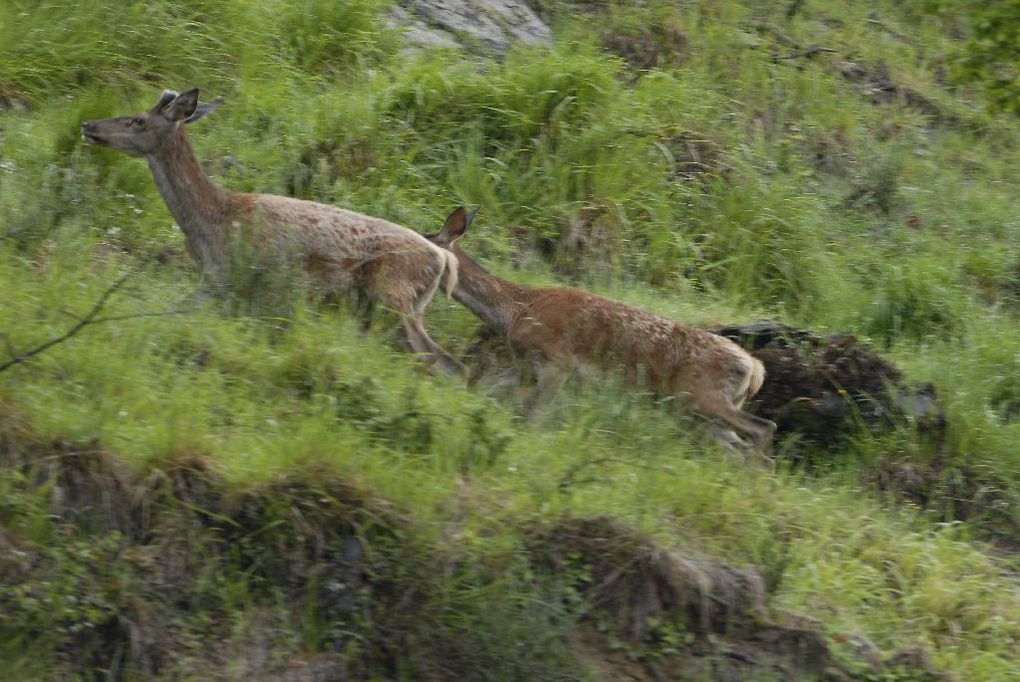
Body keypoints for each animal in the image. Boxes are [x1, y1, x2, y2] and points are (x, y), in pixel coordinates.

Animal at [81, 88, 465, 375]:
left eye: (137, 120)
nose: (88, 124)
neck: (211, 221)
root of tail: (443, 258)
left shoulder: (229, 276)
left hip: (395, 295)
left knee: (443, 361)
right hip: (385, 306)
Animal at [428, 204, 771, 454]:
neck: (516, 311)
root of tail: (755, 368)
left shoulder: (558, 360)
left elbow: (533, 414)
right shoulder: (526, 366)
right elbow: (486, 389)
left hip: (703, 395)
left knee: (764, 428)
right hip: (702, 410)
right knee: (739, 445)